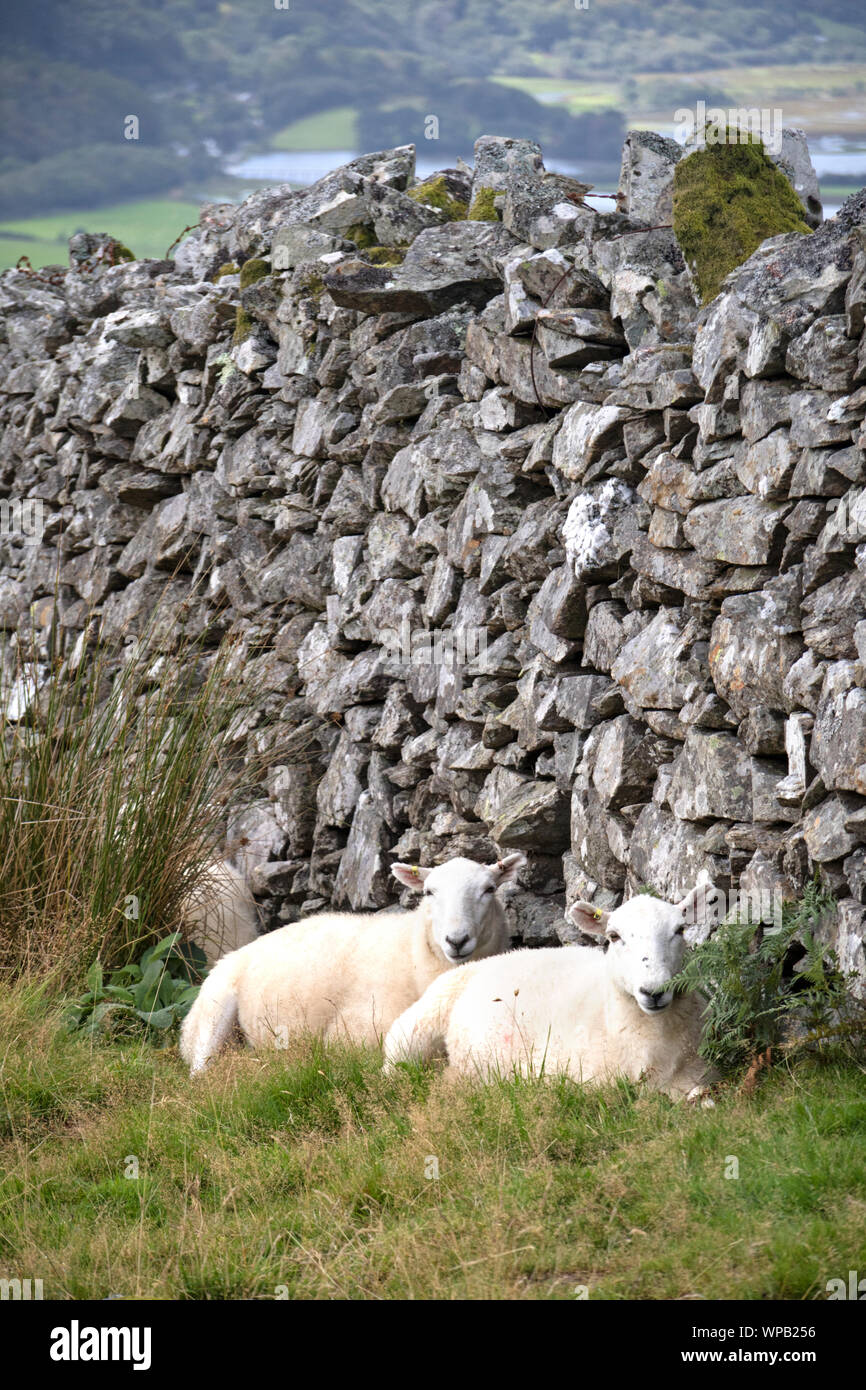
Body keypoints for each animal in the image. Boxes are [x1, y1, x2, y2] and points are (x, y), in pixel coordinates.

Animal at [179, 845, 525, 1073]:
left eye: (489, 889)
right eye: (429, 892)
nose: (456, 940)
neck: (412, 954)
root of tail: (237, 952)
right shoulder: (351, 1033)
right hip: (213, 1013)